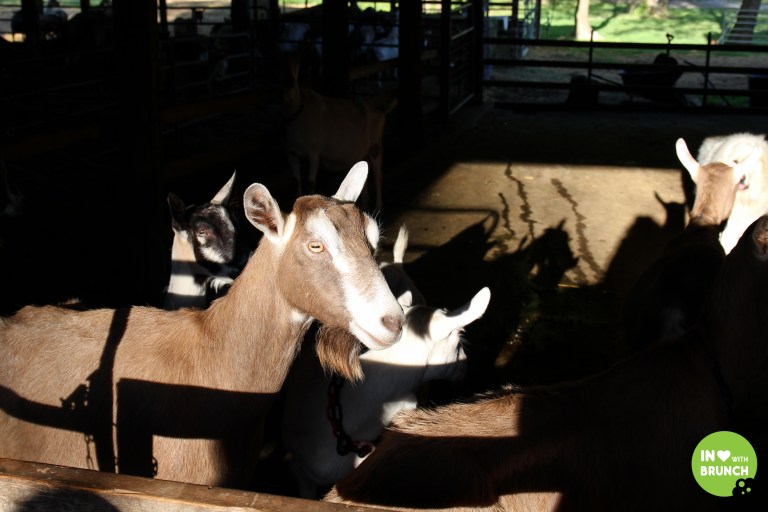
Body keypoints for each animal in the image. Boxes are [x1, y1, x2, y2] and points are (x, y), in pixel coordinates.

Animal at [282, 52, 398, 211]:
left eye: (297, 64)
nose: (289, 82)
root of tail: (380, 112)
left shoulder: (313, 152)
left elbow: (310, 182)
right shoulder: (291, 152)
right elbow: (295, 180)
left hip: (376, 148)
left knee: (378, 176)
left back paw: (378, 206)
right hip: (364, 154)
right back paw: (365, 204)